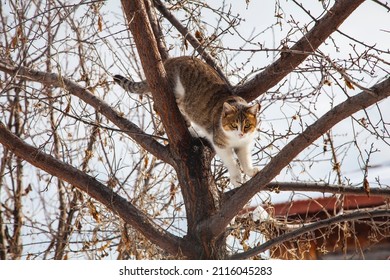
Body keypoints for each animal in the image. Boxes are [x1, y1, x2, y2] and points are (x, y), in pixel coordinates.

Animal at [114, 56, 260, 186]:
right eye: (234, 125)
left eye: (247, 125)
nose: (241, 133)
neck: (235, 139)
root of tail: (170, 60)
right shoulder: (220, 143)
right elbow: (231, 161)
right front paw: (236, 178)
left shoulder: (244, 144)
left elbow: (245, 159)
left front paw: (250, 171)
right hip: (175, 92)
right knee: (158, 106)